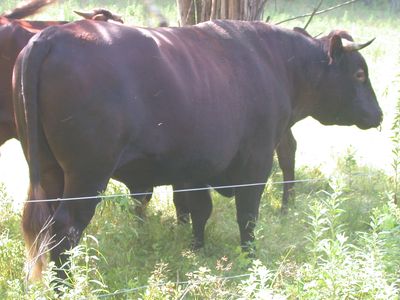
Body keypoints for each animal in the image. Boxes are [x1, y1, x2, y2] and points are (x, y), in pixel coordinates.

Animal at [12, 19, 382, 278]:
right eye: (359, 74)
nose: (378, 114)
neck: (275, 63)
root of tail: (52, 36)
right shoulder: (256, 162)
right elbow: (248, 216)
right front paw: (249, 259)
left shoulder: (195, 169)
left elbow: (199, 210)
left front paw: (196, 251)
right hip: (87, 174)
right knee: (65, 229)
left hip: (49, 170)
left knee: (46, 228)